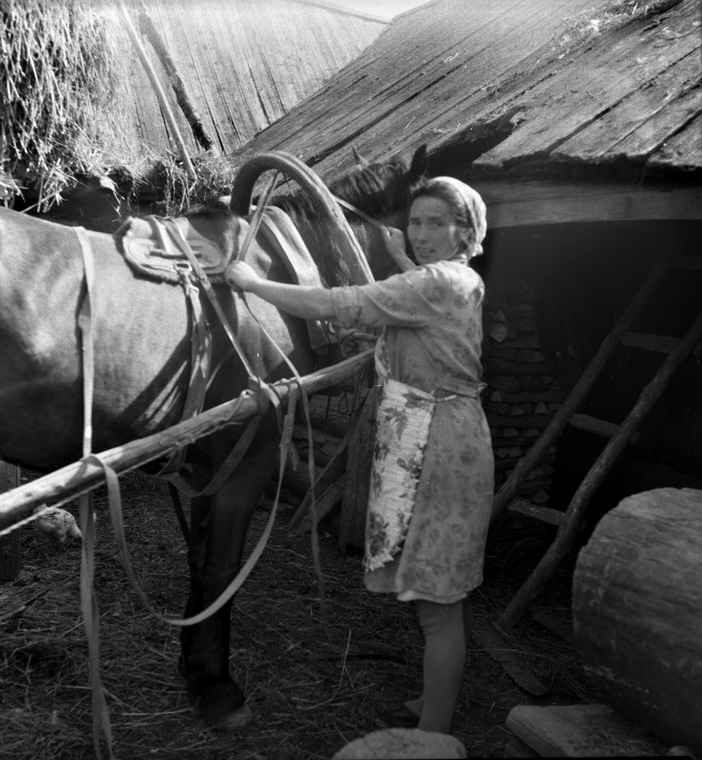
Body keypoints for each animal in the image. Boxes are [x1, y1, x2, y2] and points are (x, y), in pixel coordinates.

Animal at [0, 144, 428, 732]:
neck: (281, 282)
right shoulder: (250, 456)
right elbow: (224, 568)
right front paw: (218, 688)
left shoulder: (206, 464)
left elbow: (201, 563)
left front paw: (194, 667)